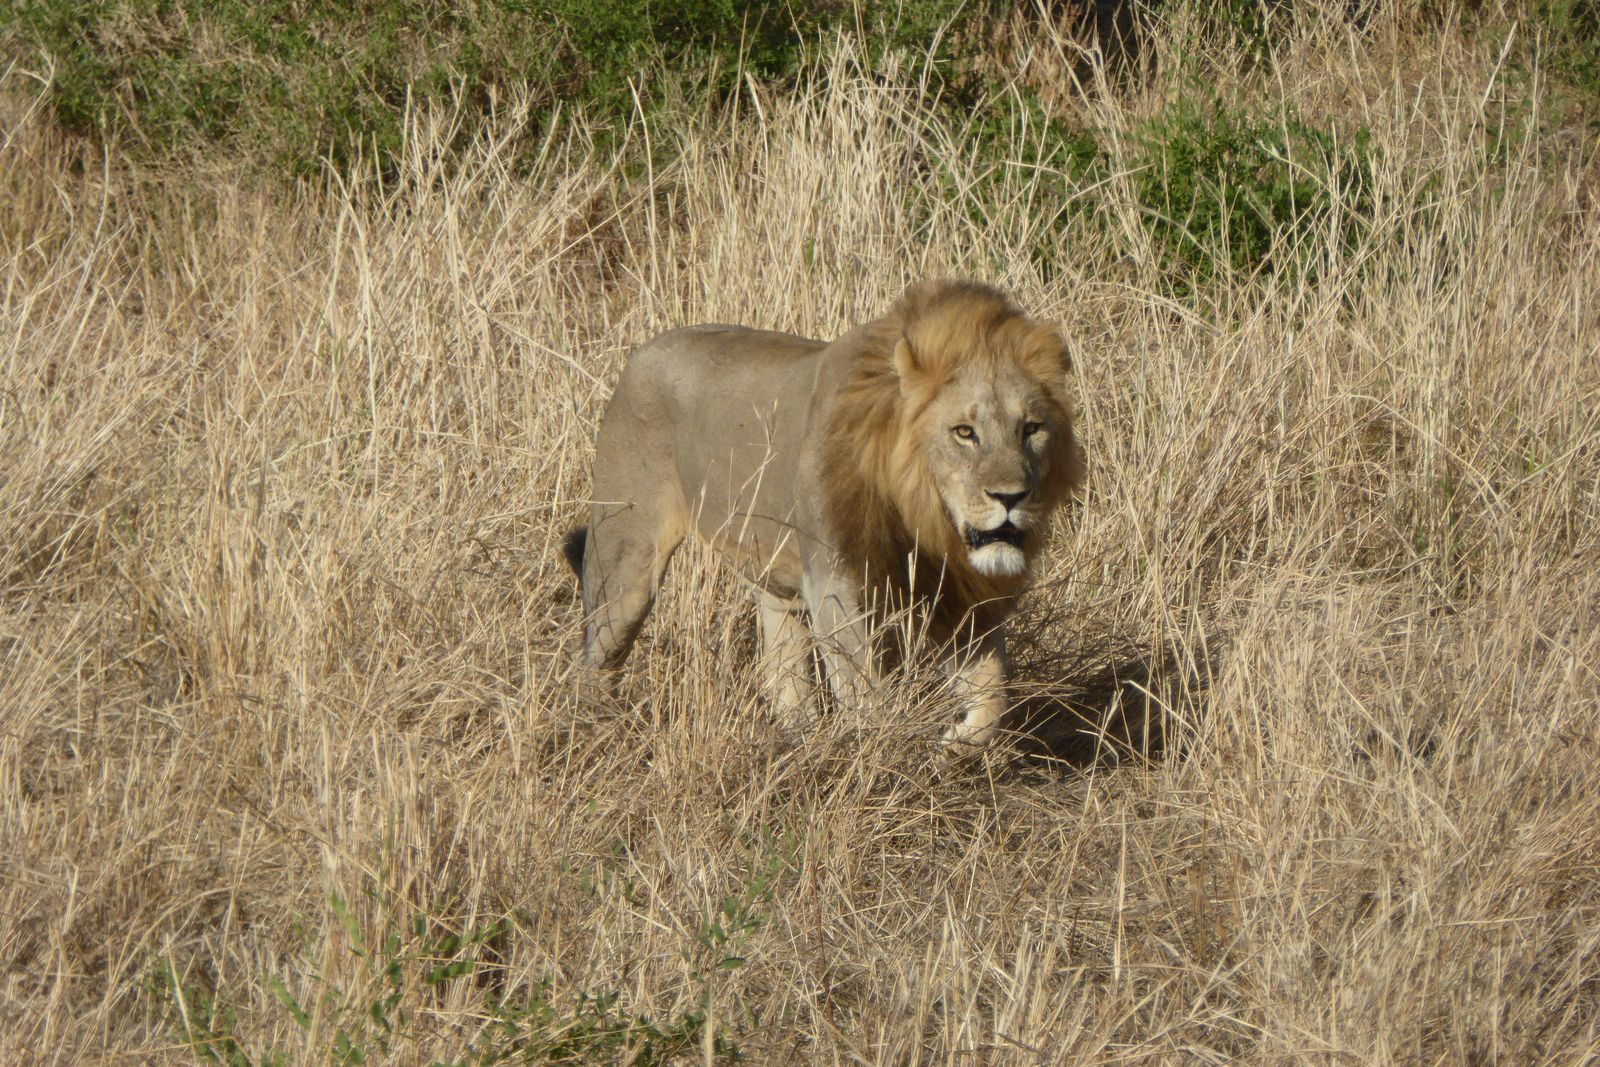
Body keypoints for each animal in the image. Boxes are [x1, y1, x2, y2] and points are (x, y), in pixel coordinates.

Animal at [562, 280, 1084, 746]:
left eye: (1031, 428)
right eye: (964, 432)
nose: (1011, 497)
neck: (922, 514)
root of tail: (642, 350)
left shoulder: (957, 591)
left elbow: (993, 691)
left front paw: (957, 742)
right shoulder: (836, 583)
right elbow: (867, 693)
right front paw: (884, 757)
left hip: (775, 577)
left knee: (782, 670)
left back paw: (801, 740)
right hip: (625, 559)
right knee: (596, 659)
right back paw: (597, 733)